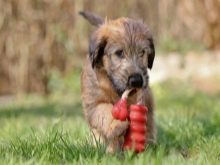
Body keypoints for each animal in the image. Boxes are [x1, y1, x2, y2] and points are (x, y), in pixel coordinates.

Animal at [80, 11, 156, 153]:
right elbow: (104, 110)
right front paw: (116, 125)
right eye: (119, 53)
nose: (136, 80)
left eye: (142, 52)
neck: (114, 88)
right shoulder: (93, 103)